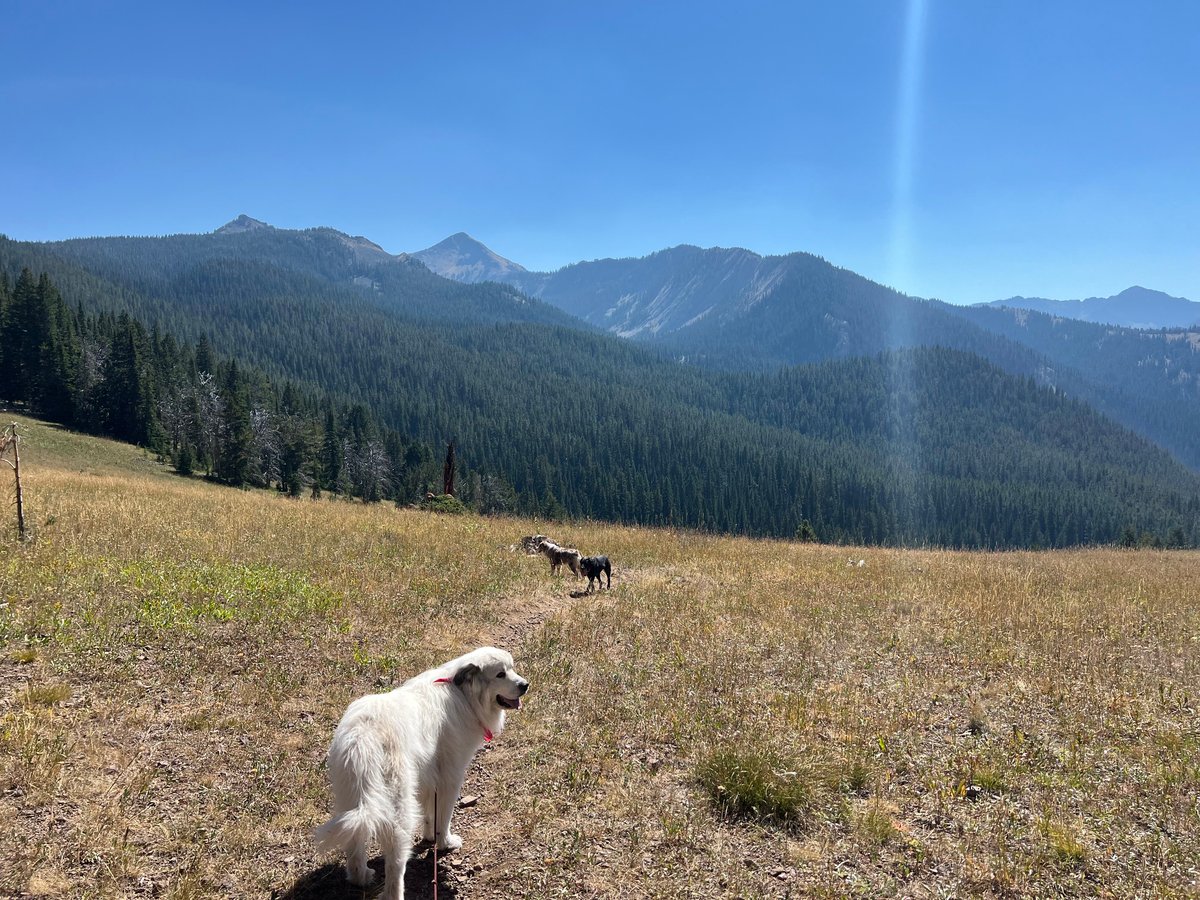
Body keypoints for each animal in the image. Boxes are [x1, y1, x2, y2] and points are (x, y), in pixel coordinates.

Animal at [314, 648, 530, 900]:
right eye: (500, 674)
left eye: (512, 668)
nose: (525, 685)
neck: (463, 694)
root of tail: (362, 737)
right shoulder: (450, 777)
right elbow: (443, 817)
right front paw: (445, 842)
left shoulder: (428, 779)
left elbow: (430, 813)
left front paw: (428, 837)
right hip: (398, 807)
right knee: (395, 864)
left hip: (350, 799)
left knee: (355, 844)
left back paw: (362, 877)